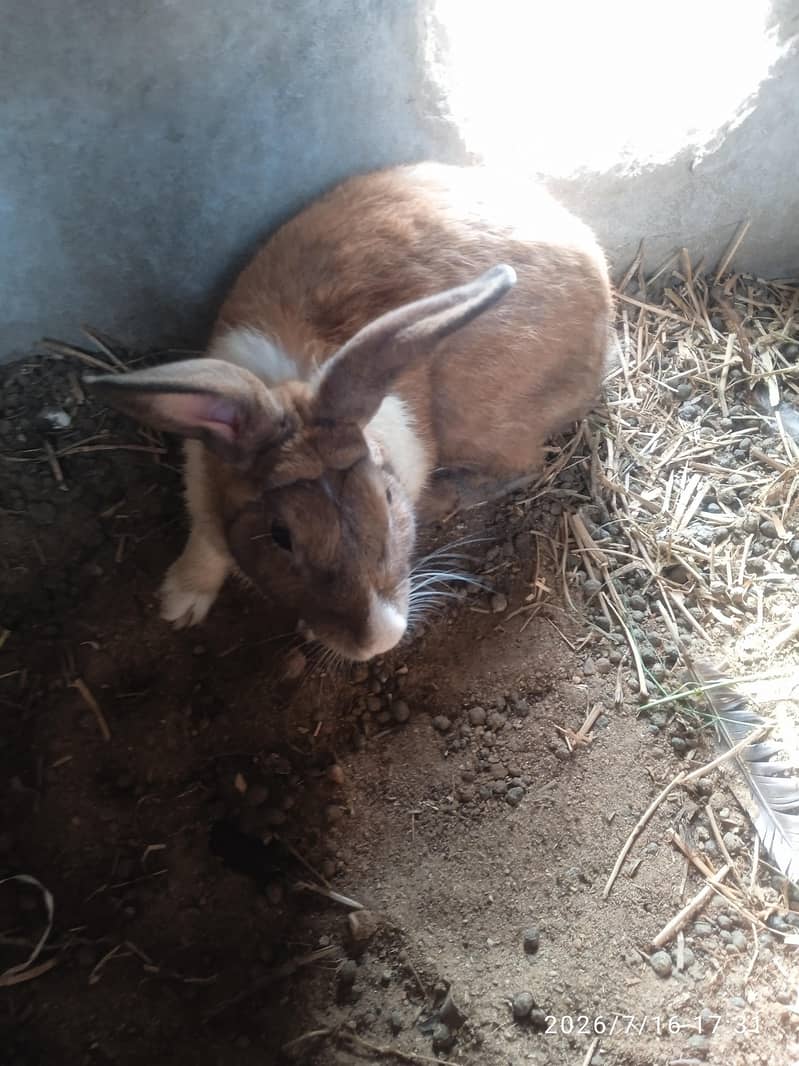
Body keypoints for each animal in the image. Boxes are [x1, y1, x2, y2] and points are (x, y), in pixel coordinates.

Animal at [86, 162, 613, 662]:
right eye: (281, 536)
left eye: (386, 497)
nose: (381, 639)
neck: (290, 387)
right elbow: (205, 547)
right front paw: (179, 604)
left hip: (482, 421)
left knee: (523, 466)